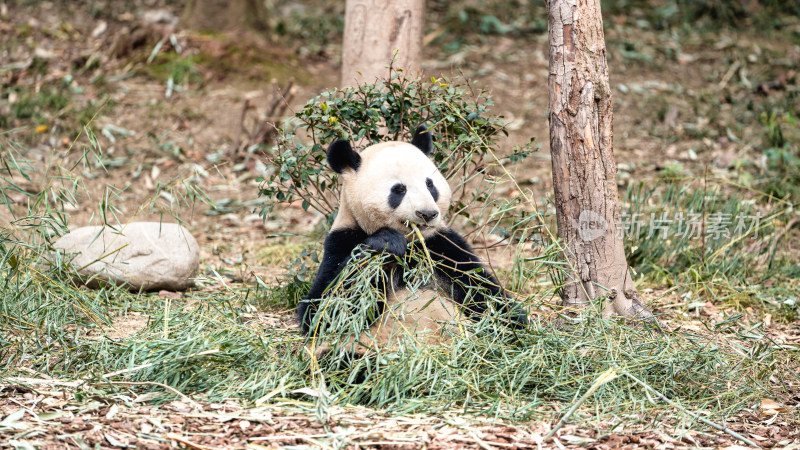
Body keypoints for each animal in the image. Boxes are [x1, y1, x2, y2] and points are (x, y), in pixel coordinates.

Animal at [296, 125, 528, 360]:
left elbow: (481, 289)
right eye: (399, 189)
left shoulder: (442, 247)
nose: (427, 214)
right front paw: (386, 243)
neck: (412, 244)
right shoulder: (341, 240)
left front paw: (516, 326)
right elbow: (324, 311)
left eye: (430, 184)